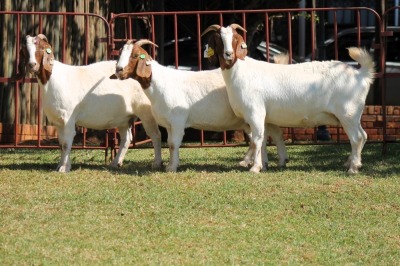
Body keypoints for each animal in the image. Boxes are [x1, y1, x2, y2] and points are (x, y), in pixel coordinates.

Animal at [18, 34, 162, 172]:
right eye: (24, 49)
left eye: (42, 48)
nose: (32, 65)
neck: (53, 79)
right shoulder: (58, 122)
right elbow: (61, 144)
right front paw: (61, 165)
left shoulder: (68, 118)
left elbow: (66, 143)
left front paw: (64, 168)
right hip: (123, 118)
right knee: (126, 139)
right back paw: (115, 163)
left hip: (146, 112)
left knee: (155, 135)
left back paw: (157, 163)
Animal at [112, 39, 288, 172]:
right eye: (120, 54)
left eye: (135, 55)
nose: (119, 70)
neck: (159, 84)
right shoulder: (169, 123)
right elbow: (170, 143)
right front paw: (172, 164)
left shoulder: (178, 120)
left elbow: (173, 144)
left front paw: (171, 167)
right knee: (267, 136)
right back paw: (266, 161)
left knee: (262, 137)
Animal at [203, 23, 376, 174]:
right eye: (218, 39)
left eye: (235, 38)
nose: (228, 54)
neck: (241, 71)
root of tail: (361, 74)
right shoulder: (265, 117)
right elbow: (264, 140)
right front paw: (264, 165)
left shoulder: (255, 112)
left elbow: (256, 140)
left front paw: (255, 168)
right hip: (351, 116)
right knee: (363, 136)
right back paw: (351, 163)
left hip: (348, 113)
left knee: (357, 137)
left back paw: (353, 168)